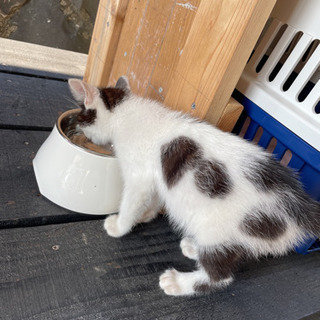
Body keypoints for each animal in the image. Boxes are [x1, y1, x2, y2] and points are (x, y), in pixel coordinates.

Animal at [68, 76, 320, 296]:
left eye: (82, 115)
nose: (81, 130)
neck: (126, 112)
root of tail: (297, 201)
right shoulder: (158, 178)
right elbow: (155, 197)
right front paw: (146, 215)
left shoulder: (139, 174)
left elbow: (132, 201)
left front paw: (119, 226)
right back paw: (192, 247)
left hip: (219, 227)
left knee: (220, 276)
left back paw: (178, 282)